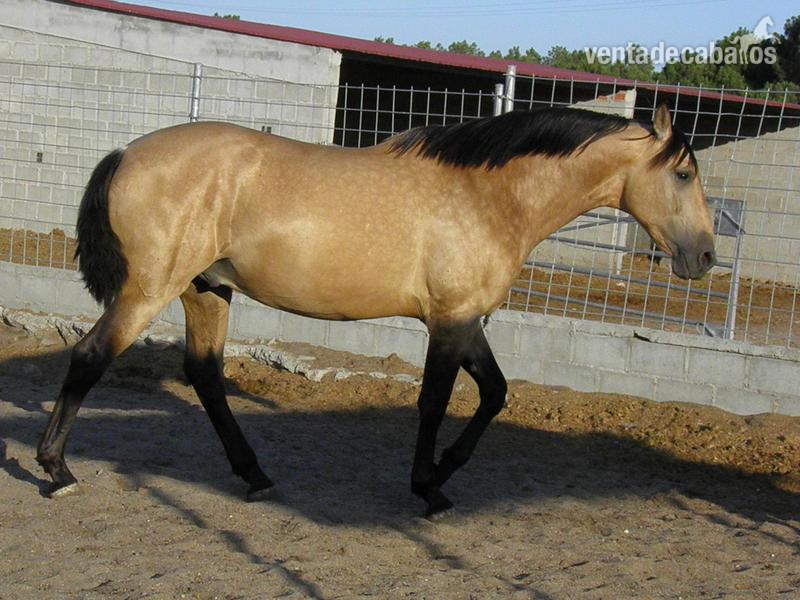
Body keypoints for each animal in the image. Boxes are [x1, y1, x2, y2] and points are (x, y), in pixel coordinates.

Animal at [37, 104, 716, 517]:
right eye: (684, 174)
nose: (706, 256)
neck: (487, 195)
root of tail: (126, 153)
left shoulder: (465, 320)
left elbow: (494, 393)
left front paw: (445, 471)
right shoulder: (449, 322)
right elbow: (435, 403)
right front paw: (428, 488)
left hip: (206, 289)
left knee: (205, 375)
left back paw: (255, 475)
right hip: (150, 289)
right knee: (90, 356)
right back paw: (56, 469)